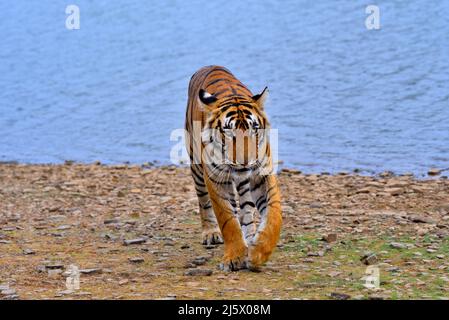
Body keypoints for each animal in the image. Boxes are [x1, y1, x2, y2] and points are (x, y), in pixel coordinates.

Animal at [182, 66, 280, 272]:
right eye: (228, 131)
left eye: (254, 128)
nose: (245, 162)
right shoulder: (215, 178)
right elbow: (228, 221)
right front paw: (234, 257)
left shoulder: (262, 173)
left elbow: (274, 215)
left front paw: (259, 251)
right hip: (196, 166)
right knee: (204, 201)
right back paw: (211, 233)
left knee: (246, 209)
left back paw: (250, 238)